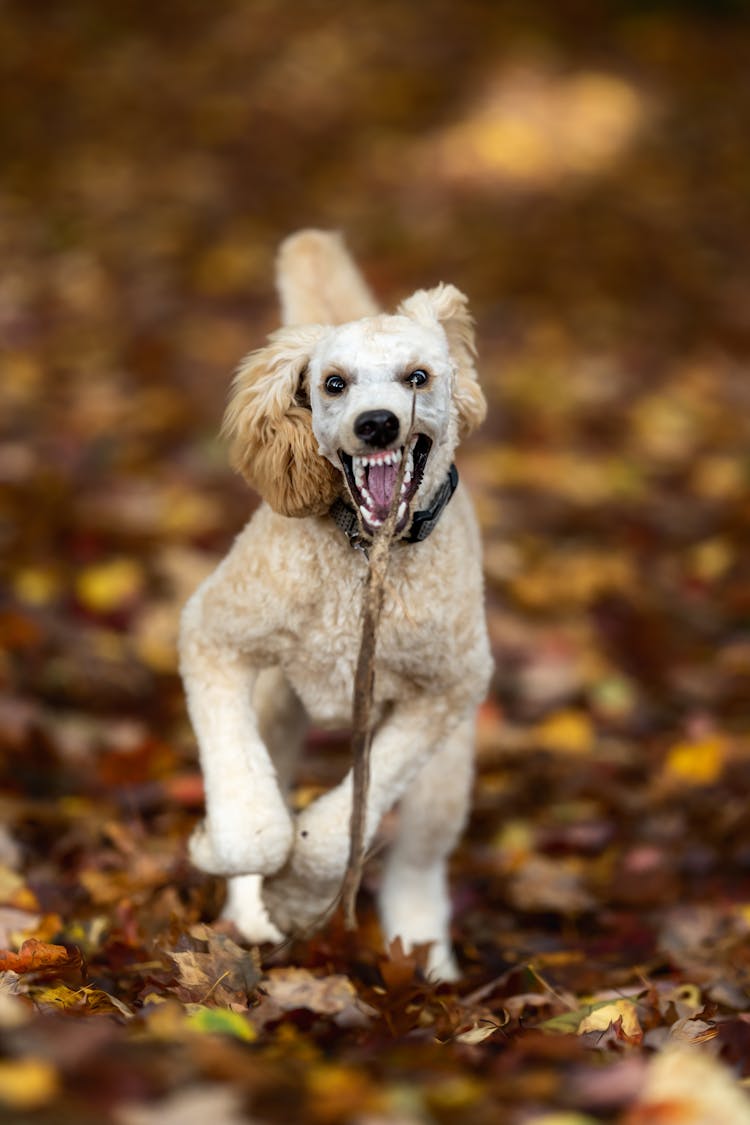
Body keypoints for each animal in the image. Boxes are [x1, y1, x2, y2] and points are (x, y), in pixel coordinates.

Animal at [178, 228, 490, 976]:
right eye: (333, 383)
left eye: (418, 377)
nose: (376, 424)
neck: (361, 560)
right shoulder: (213, 636)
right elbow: (256, 827)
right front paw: (218, 849)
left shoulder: (448, 693)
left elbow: (332, 830)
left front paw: (297, 899)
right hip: (275, 704)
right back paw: (247, 917)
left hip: (446, 776)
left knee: (417, 865)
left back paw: (426, 960)